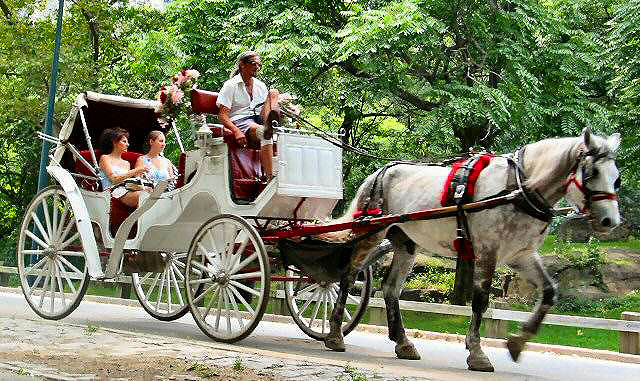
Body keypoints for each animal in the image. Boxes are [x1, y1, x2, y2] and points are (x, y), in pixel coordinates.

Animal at [320, 126, 620, 370]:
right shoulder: (487, 251)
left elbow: (548, 292)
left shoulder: (521, 255)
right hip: (371, 232)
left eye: (616, 178)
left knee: (390, 287)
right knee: (349, 275)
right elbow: (481, 301)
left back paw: (403, 342)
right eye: (592, 172)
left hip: (405, 241)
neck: (518, 187)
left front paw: (518, 342)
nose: (611, 221)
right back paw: (334, 333)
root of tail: (378, 173)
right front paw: (477, 353)